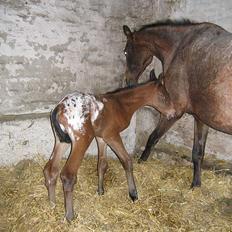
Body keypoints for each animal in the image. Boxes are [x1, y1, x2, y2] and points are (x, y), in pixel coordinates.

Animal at [43, 71, 176, 221]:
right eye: (163, 96)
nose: (173, 113)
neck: (121, 104)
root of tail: (59, 108)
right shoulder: (112, 135)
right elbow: (126, 161)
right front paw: (133, 194)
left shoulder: (101, 137)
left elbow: (102, 164)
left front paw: (100, 191)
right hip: (81, 141)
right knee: (68, 175)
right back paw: (70, 216)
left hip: (62, 141)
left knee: (51, 170)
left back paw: (52, 205)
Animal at [124, 19, 232, 188]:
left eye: (125, 52)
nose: (128, 82)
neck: (180, 46)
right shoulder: (201, 118)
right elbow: (198, 152)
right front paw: (196, 184)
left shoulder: (172, 112)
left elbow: (152, 138)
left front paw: (141, 161)